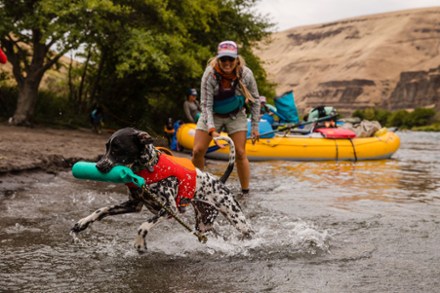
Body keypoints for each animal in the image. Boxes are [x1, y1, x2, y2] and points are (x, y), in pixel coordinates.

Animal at [70, 126, 253, 250]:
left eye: (117, 148)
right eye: (106, 147)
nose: (99, 165)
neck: (148, 168)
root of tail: (220, 182)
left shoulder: (168, 209)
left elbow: (143, 226)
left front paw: (139, 244)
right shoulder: (133, 205)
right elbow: (101, 210)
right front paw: (82, 223)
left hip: (237, 220)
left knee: (248, 232)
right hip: (204, 223)